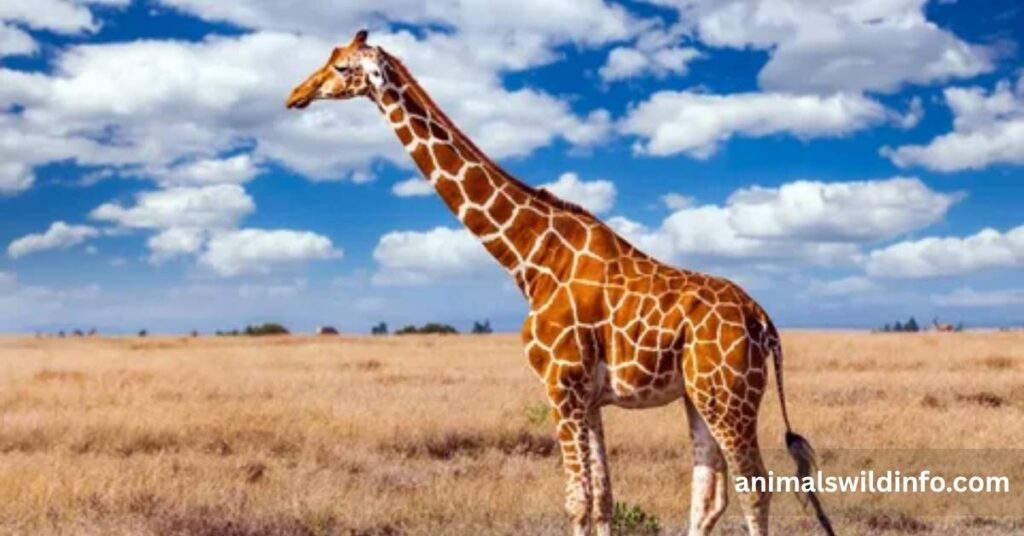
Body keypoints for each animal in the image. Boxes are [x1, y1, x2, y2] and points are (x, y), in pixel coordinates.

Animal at [286, 31, 835, 536]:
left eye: (340, 67)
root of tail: (764, 322)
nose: (295, 94)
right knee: (709, 495)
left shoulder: (560, 384)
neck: (529, 259)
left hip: (730, 397)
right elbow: (603, 499)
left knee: (755, 489)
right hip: (700, 396)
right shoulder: (587, 396)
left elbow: (577, 501)